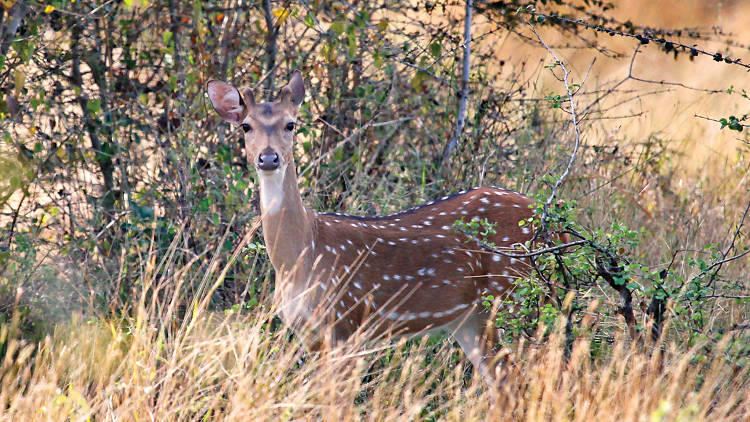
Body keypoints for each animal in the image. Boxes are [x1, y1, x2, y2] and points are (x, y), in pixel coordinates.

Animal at [203, 70, 536, 382]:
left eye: (291, 124)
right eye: (246, 126)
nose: (269, 157)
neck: (301, 255)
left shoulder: (346, 323)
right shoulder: (311, 334)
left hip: (512, 293)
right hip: (469, 318)